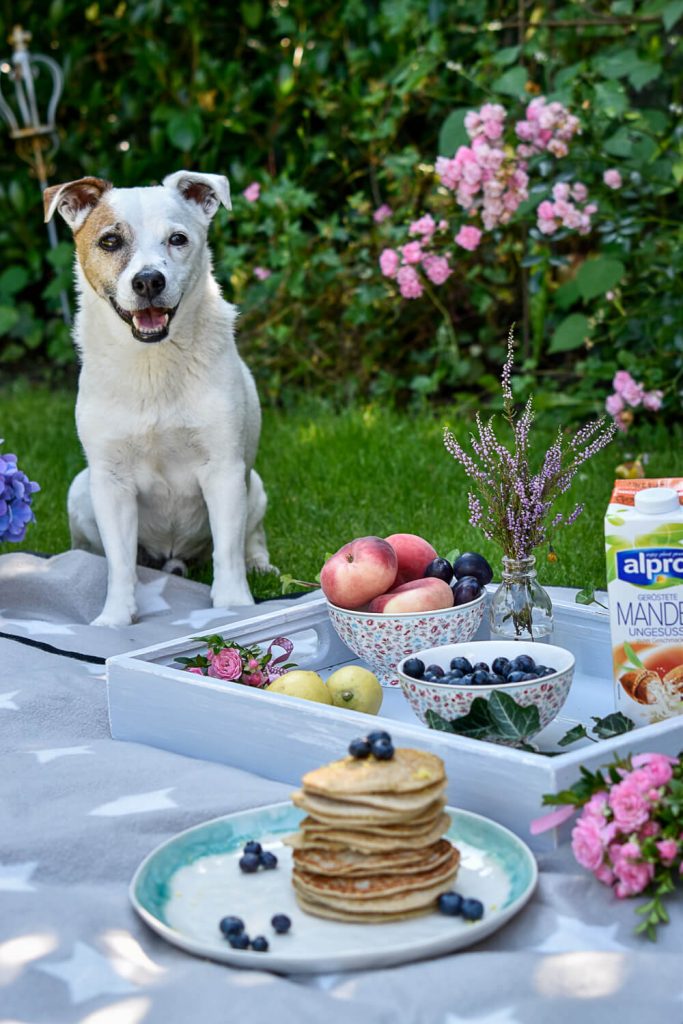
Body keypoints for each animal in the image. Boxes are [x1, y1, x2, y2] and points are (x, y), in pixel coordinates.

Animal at [43, 172, 274, 626]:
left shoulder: (223, 469)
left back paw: (260, 564)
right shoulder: (111, 481)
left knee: (250, 537)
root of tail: (173, 560)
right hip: (80, 490)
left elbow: (228, 551)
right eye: (110, 241)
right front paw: (114, 618)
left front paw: (234, 605)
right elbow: (118, 563)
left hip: (253, 484)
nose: (149, 280)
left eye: (178, 239)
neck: (152, 365)